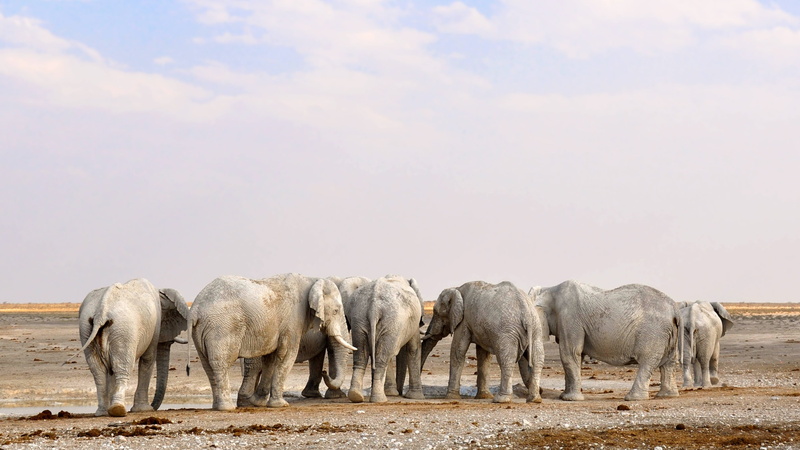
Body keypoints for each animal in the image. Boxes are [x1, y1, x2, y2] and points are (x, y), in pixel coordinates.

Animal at [75, 278, 189, 417]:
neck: (159, 292)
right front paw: (143, 409)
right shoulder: (154, 325)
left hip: (86, 328)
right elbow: (148, 359)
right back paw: (118, 410)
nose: (154, 407)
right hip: (124, 330)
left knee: (98, 370)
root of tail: (101, 312)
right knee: (122, 366)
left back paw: (102, 412)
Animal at [190, 273, 355, 410]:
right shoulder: (293, 321)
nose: (325, 372)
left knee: (208, 366)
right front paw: (280, 404)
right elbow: (286, 354)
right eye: (336, 311)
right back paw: (227, 407)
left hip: (202, 331)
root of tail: (195, 309)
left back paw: (219, 406)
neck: (313, 280)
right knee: (221, 363)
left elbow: (270, 358)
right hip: (222, 327)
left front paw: (258, 402)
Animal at [237, 276, 371, 406]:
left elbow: (320, 354)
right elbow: (331, 349)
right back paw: (247, 402)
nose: (324, 371)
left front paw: (312, 395)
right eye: (335, 311)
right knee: (255, 366)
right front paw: (336, 396)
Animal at [530, 280, 681, 401]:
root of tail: (674, 308)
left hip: (653, 332)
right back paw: (667, 396)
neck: (548, 289)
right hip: (668, 333)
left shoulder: (569, 319)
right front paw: (564, 396)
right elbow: (576, 355)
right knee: (669, 362)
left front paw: (570, 399)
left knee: (647, 362)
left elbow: (570, 354)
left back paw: (633, 398)